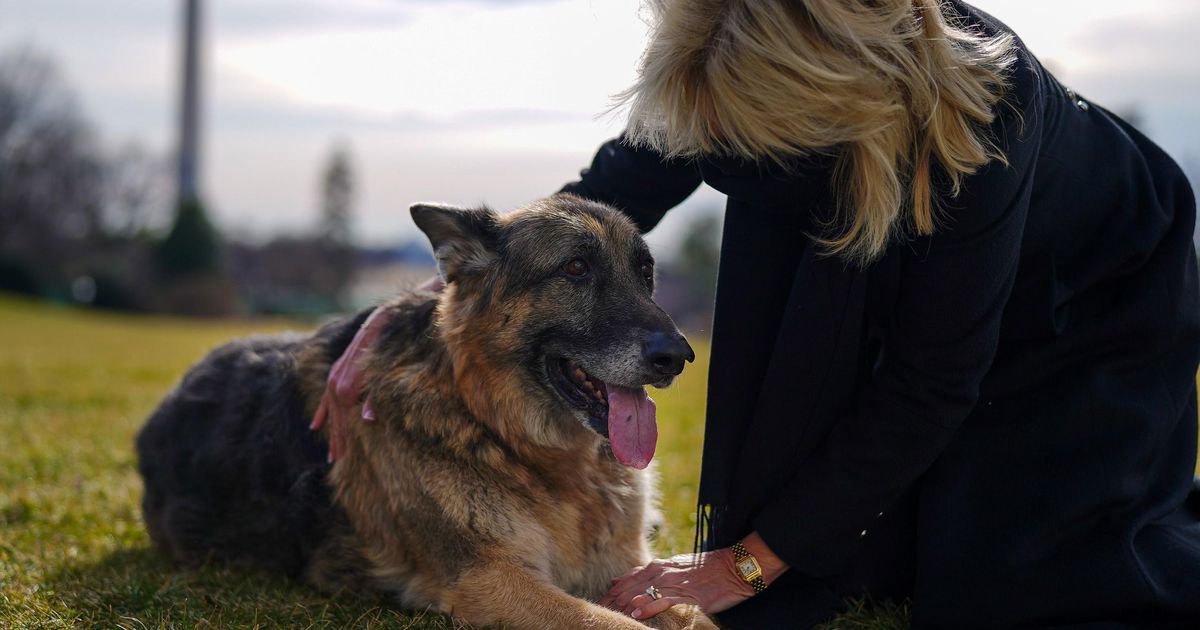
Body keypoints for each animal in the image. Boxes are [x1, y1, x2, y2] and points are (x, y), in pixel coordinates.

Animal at [136, 194, 715, 624]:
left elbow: (688, 611)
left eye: (646, 273)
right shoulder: (491, 580)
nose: (678, 356)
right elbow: (615, 623)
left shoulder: (629, 567)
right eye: (576, 268)